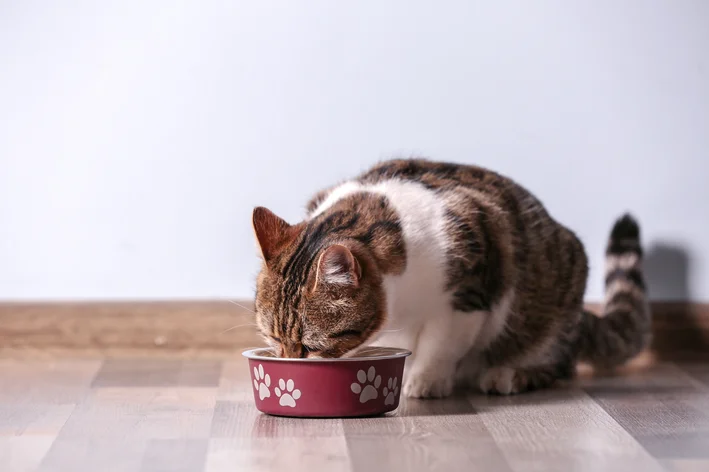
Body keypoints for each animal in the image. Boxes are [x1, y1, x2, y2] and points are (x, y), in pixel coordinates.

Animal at [252, 159, 648, 398]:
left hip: (552, 302)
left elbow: (441, 344)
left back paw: (507, 375)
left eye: (311, 346)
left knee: (559, 363)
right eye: (273, 337)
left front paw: (424, 381)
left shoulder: (468, 293)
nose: (288, 366)